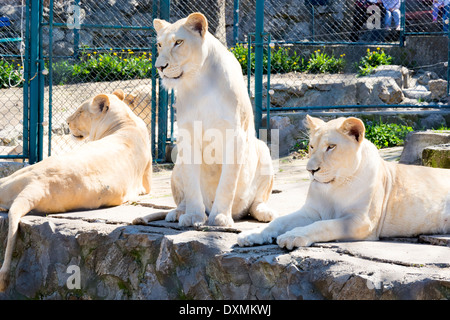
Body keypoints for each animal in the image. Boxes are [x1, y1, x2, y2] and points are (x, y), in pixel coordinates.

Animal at [0, 90, 153, 290]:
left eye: (80, 111)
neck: (125, 120)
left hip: (16, 179)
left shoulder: (148, 184)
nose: (66, 122)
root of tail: (35, 186)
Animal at [134, 12, 276, 228]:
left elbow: (227, 182)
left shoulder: (235, 135)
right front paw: (193, 217)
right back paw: (177, 213)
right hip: (177, 163)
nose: (160, 67)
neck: (199, 80)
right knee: (181, 199)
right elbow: (192, 185)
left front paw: (220, 218)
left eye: (178, 42)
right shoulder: (187, 136)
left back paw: (264, 213)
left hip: (264, 150)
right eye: (159, 45)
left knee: (257, 202)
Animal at [237, 116, 448, 249]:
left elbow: (324, 226)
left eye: (331, 147)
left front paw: (292, 236)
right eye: (311, 146)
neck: (333, 188)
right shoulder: (311, 212)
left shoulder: (361, 221)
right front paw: (252, 234)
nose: (310, 170)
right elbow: (279, 221)